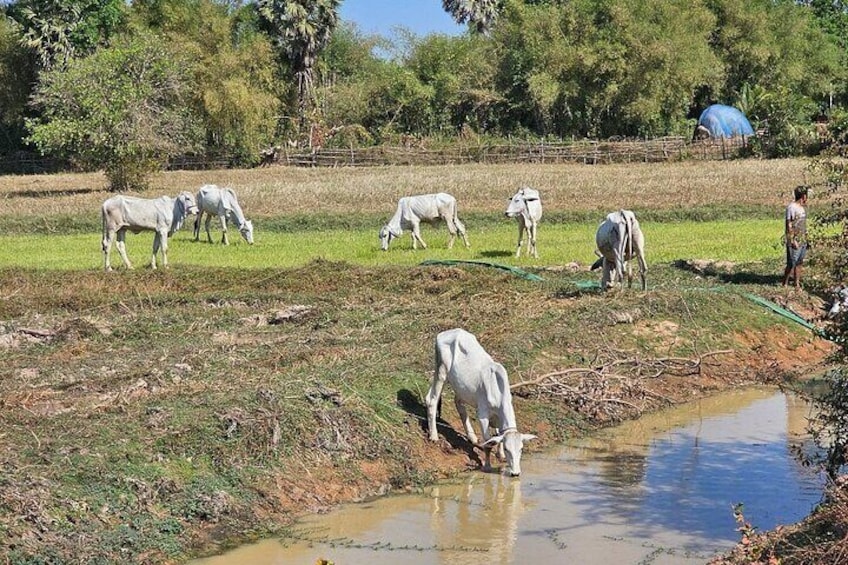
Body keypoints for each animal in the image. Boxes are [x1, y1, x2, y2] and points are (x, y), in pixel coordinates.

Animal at [424, 326, 536, 476]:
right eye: (508, 449)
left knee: (458, 402)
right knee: (431, 399)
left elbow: (498, 436)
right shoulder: (482, 415)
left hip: (460, 386)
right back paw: (434, 436)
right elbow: (488, 442)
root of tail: (448, 332)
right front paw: (487, 466)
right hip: (441, 370)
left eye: (521, 449)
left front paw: (500, 456)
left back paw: (472, 437)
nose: (515, 473)